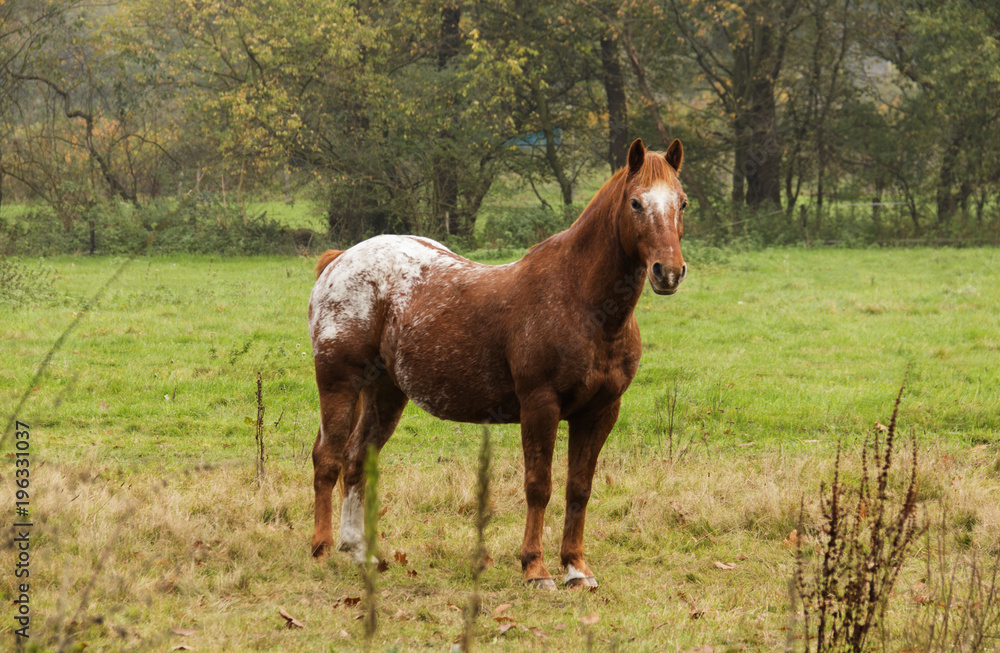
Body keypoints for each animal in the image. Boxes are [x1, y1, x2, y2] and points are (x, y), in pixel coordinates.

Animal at [308, 138, 687, 589]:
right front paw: (535, 568)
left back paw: (358, 551)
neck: (580, 301)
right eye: (635, 202)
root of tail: (340, 259)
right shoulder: (540, 406)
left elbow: (579, 488)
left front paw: (576, 568)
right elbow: (539, 485)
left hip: (384, 393)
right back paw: (322, 550)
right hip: (339, 384)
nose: (669, 272)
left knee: (356, 458)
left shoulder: (599, 412)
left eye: (682, 202)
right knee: (327, 459)